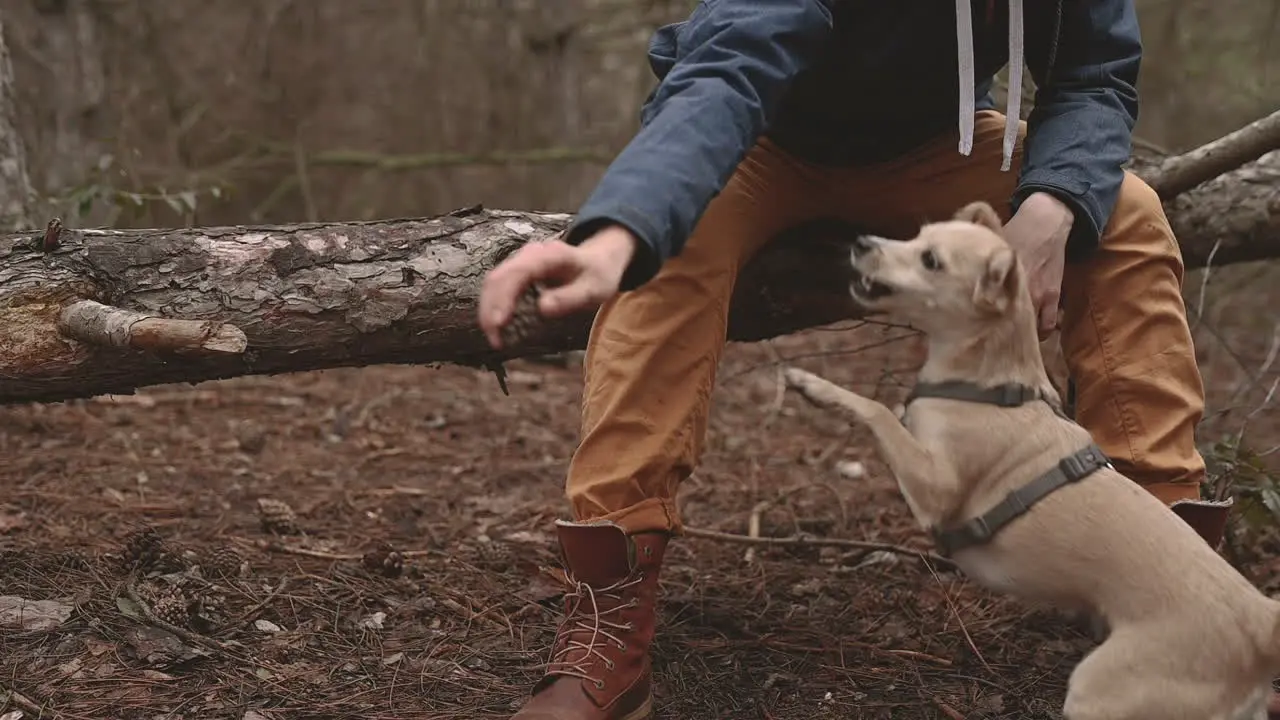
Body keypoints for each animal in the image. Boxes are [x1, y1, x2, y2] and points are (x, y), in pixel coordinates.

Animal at [778, 202, 1280, 717]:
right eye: (917, 235)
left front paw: (814, 385)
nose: (861, 242)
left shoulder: (934, 488)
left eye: (930, 260)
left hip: (1101, 691)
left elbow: (877, 410)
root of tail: (1261, 622)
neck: (989, 383)